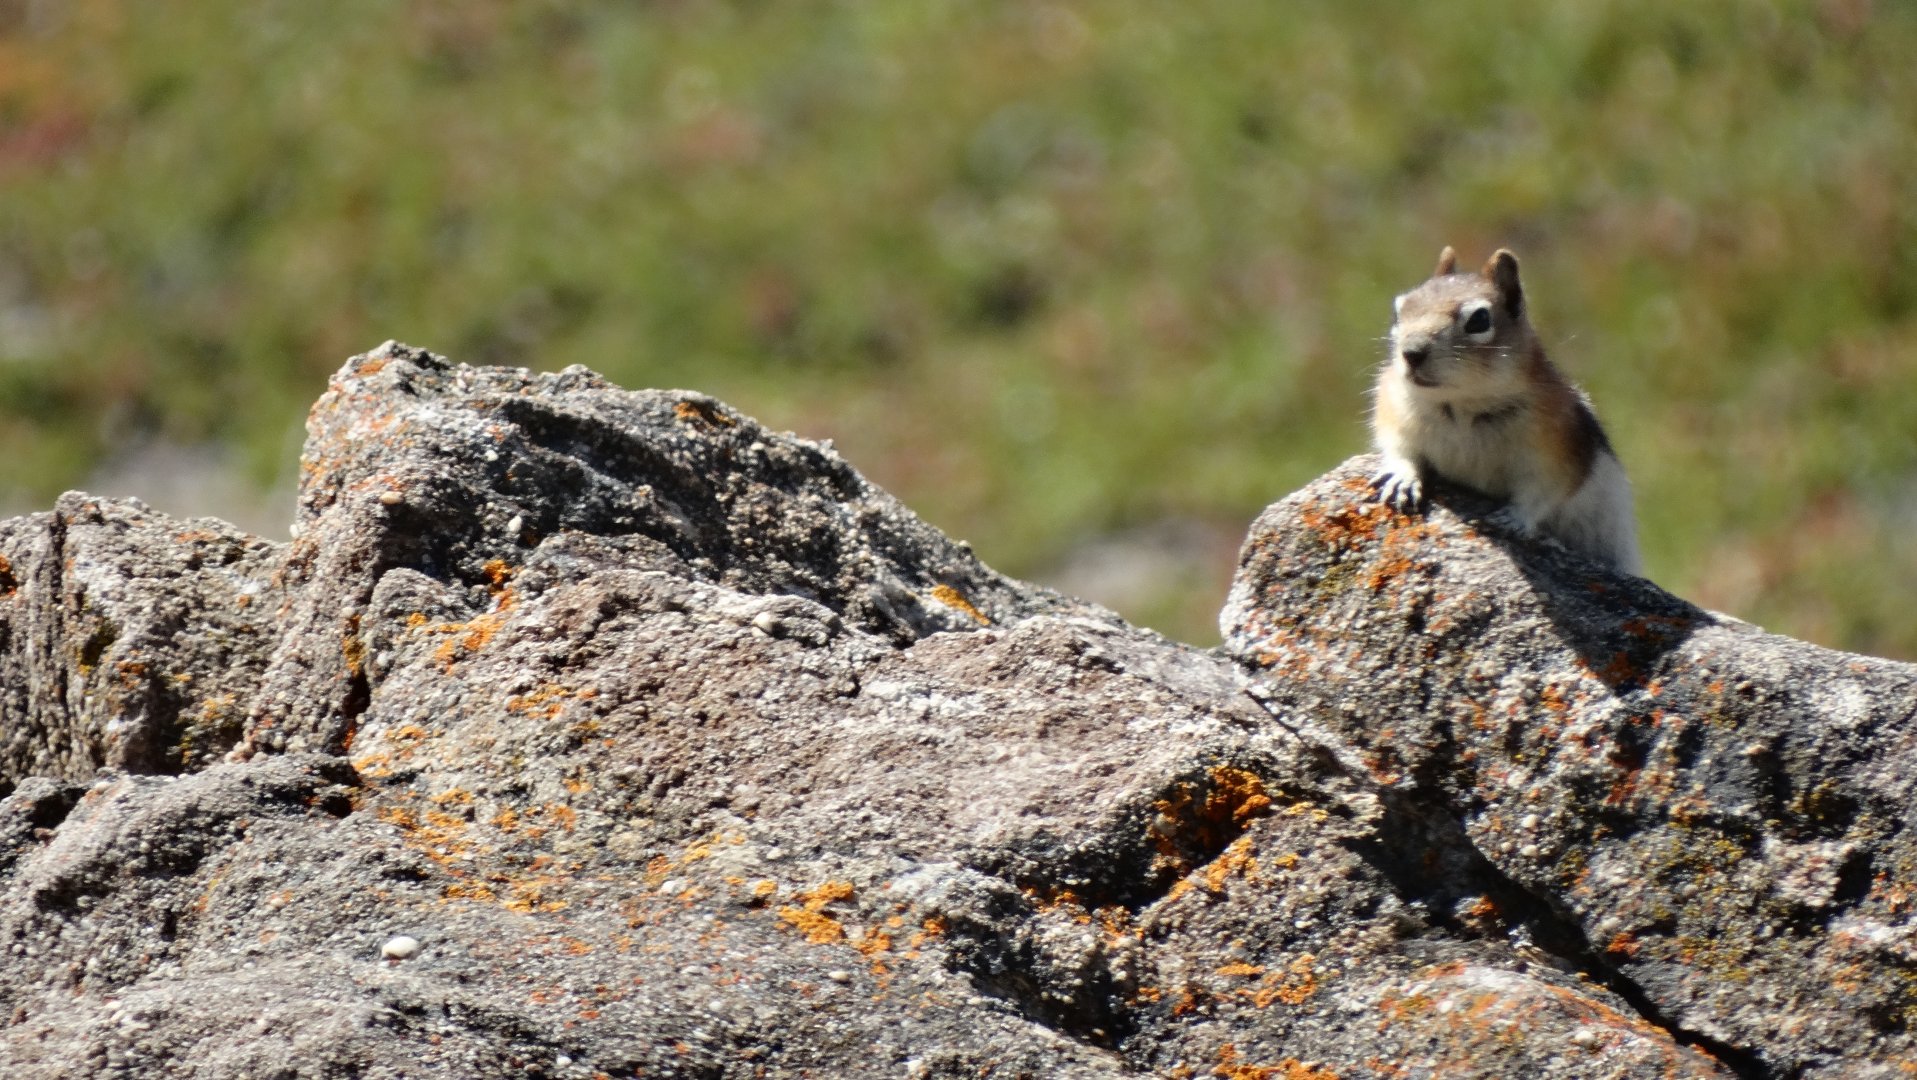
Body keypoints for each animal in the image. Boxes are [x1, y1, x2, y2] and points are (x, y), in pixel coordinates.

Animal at [1369, 246, 1641, 575]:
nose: (1411, 352)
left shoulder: (1558, 452)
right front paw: (1402, 477)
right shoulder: (1395, 412)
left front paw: (1511, 518)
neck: (1463, 406)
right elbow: (1399, 449)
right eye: (1399, 310)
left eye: (1479, 319)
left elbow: (1542, 492)